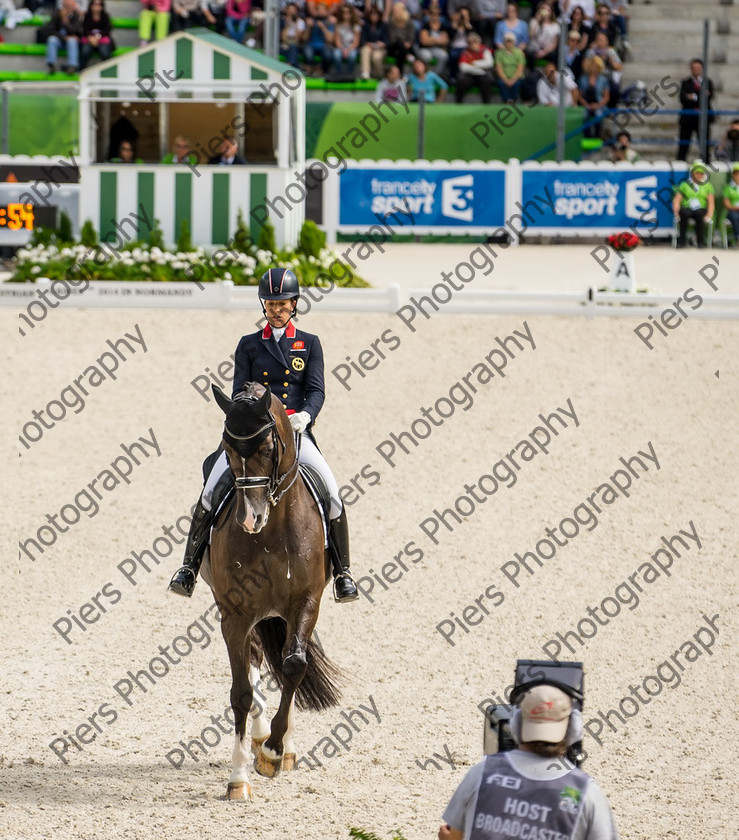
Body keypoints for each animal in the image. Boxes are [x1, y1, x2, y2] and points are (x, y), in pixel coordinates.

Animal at [207, 384, 342, 796]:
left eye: (269, 448)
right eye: (227, 448)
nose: (249, 519)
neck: (272, 534)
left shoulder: (306, 603)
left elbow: (294, 665)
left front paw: (274, 752)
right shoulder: (234, 614)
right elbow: (241, 691)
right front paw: (239, 777)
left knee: (285, 666)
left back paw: (283, 747)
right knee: (254, 663)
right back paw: (259, 732)